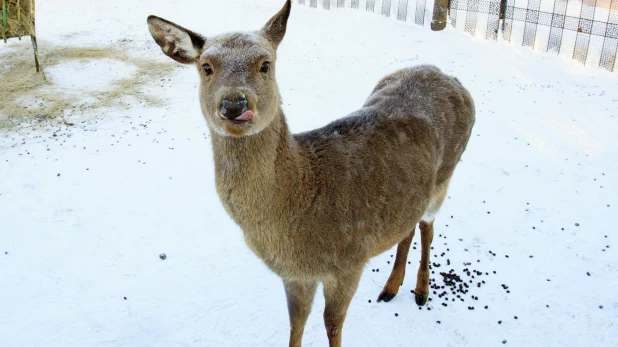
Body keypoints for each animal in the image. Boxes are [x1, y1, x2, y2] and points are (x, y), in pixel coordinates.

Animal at [147, 1, 474, 346]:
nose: (234, 104)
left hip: (446, 174)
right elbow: (296, 321)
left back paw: (421, 290)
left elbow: (332, 323)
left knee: (428, 226)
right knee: (408, 226)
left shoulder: (349, 262)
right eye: (206, 67)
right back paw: (390, 287)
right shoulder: (295, 276)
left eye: (266, 64)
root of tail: (449, 77)